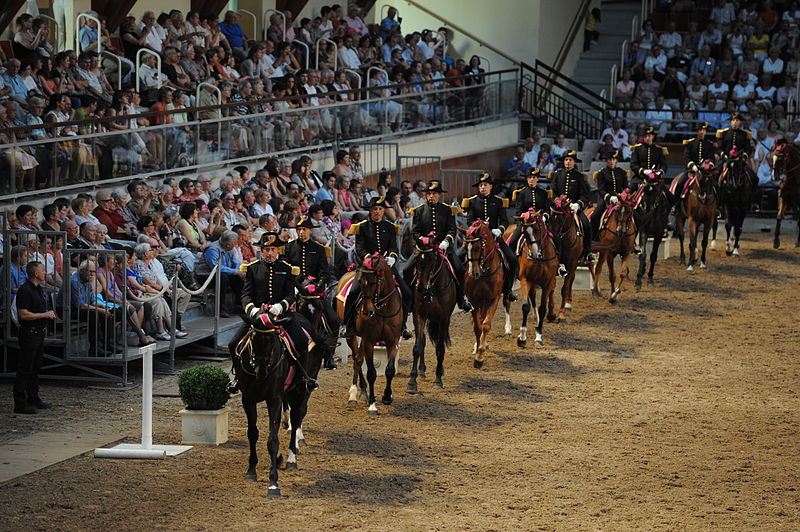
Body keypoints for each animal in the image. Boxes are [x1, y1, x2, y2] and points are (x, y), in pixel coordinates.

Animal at [334, 254, 404, 416]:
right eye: (360, 282)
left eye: (375, 281)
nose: (367, 311)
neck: (383, 308)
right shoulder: (369, 340)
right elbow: (371, 372)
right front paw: (372, 404)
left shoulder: (392, 340)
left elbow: (390, 370)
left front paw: (387, 396)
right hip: (352, 335)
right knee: (357, 360)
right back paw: (354, 394)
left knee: (359, 359)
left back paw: (364, 393)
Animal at [406, 240, 456, 390]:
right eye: (416, 259)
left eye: (432, 260)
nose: (420, 287)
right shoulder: (419, 315)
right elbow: (417, 347)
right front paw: (412, 382)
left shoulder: (444, 318)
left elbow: (440, 348)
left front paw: (438, 379)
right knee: (423, 340)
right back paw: (422, 371)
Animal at [460, 218, 504, 368]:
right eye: (464, 247)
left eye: (477, 248)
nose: (473, 273)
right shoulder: (474, 300)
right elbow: (478, 327)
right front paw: (478, 353)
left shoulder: (494, 299)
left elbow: (486, 325)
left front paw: (480, 355)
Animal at [504, 208, 560, 350]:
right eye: (524, 232)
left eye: (536, 229)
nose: (534, 253)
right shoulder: (526, 280)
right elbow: (525, 306)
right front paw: (522, 338)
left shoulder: (547, 283)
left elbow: (542, 308)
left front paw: (539, 336)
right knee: (507, 300)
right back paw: (508, 330)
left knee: (534, 298)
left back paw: (537, 320)